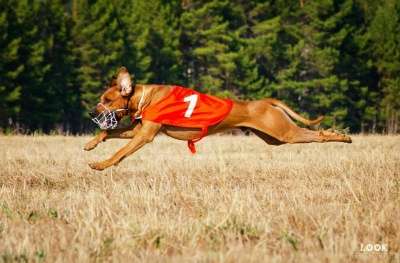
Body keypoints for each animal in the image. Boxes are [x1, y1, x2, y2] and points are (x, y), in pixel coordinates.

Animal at [84, 66, 350, 171]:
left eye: (107, 100)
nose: (91, 113)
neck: (144, 97)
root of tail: (265, 102)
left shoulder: (145, 135)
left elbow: (121, 151)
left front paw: (101, 164)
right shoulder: (136, 129)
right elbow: (109, 132)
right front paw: (91, 143)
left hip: (285, 133)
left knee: (317, 134)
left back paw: (341, 136)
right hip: (274, 138)